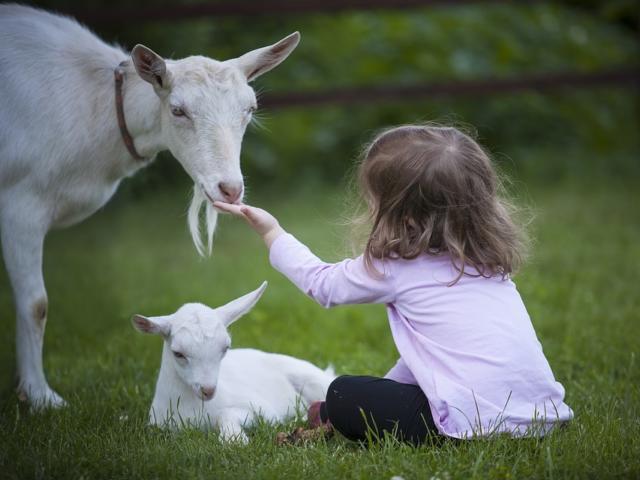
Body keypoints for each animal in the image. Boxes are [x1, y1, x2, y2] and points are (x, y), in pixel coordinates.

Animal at [0, 4, 299, 408]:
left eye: (249, 109)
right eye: (177, 110)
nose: (230, 189)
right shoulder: (21, 202)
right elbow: (36, 303)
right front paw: (40, 397)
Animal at [132, 282, 334, 442]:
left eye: (225, 348)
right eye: (178, 353)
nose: (208, 390)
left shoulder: (264, 410)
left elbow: (228, 413)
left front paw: (234, 439)